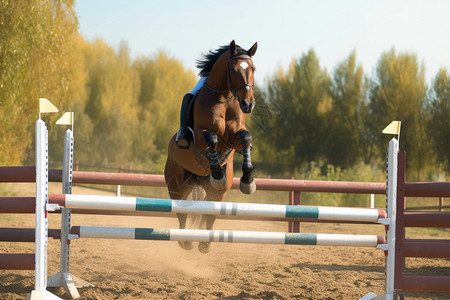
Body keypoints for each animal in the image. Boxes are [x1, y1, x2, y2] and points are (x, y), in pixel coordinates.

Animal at [164, 41, 256, 253]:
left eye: (253, 69)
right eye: (234, 69)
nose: (248, 104)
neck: (225, 98)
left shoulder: (234, 137)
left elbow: (246, 137)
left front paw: (248, 180)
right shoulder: (200, 136)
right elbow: (212, 138)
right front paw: (217, 173)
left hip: (215, 193)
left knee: (210, 210)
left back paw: (205, 243)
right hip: (176, 184)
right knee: (182, 209)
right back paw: (185, 241)